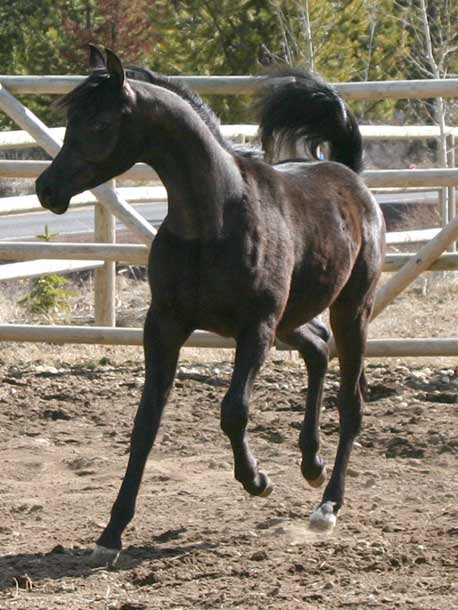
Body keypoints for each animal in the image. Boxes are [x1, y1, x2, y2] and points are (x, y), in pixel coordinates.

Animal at [36, 45, 386, 564]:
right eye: (71, 120)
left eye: (98, 123)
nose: (47, 189)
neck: (213, 220)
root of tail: (351, 176)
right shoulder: (164, 327)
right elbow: (145, 423)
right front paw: (111, 532)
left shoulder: (255, 328)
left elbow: (234, 410)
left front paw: (257, 480)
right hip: (293, 319)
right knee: (318, 349)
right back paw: (311, 464)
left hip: (350, 310)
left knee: (351, 401)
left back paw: (328, 505)